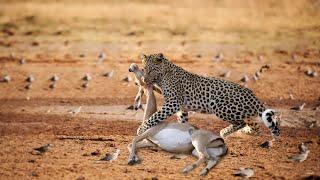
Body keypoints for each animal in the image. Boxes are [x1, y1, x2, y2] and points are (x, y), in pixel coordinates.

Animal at [138, 52, 280, 145]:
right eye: (143, 69)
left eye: (151, 70)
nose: (144, 79)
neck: (162, 76)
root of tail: (253, 96)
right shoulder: (182, 108)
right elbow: (183, 122)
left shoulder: (173, 104)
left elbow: (154, 117)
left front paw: (141, 129)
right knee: (253, 124)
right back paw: (239, 132)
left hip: (221, 107)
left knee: (244, 123)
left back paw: (226, 132)